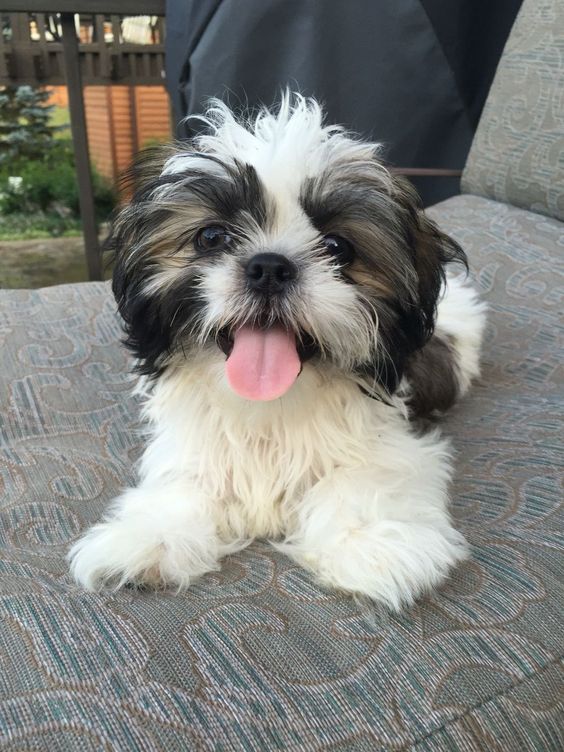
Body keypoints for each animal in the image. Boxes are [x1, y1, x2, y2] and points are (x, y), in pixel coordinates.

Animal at [69, 94, 484, 612]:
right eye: (212, 237)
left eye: (338, 247)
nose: (269, 266)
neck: (268, 408)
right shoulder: (194, 445)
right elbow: (185, 484)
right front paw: (149, 536)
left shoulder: (390, 438)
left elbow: (363, 479)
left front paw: (371, 543)